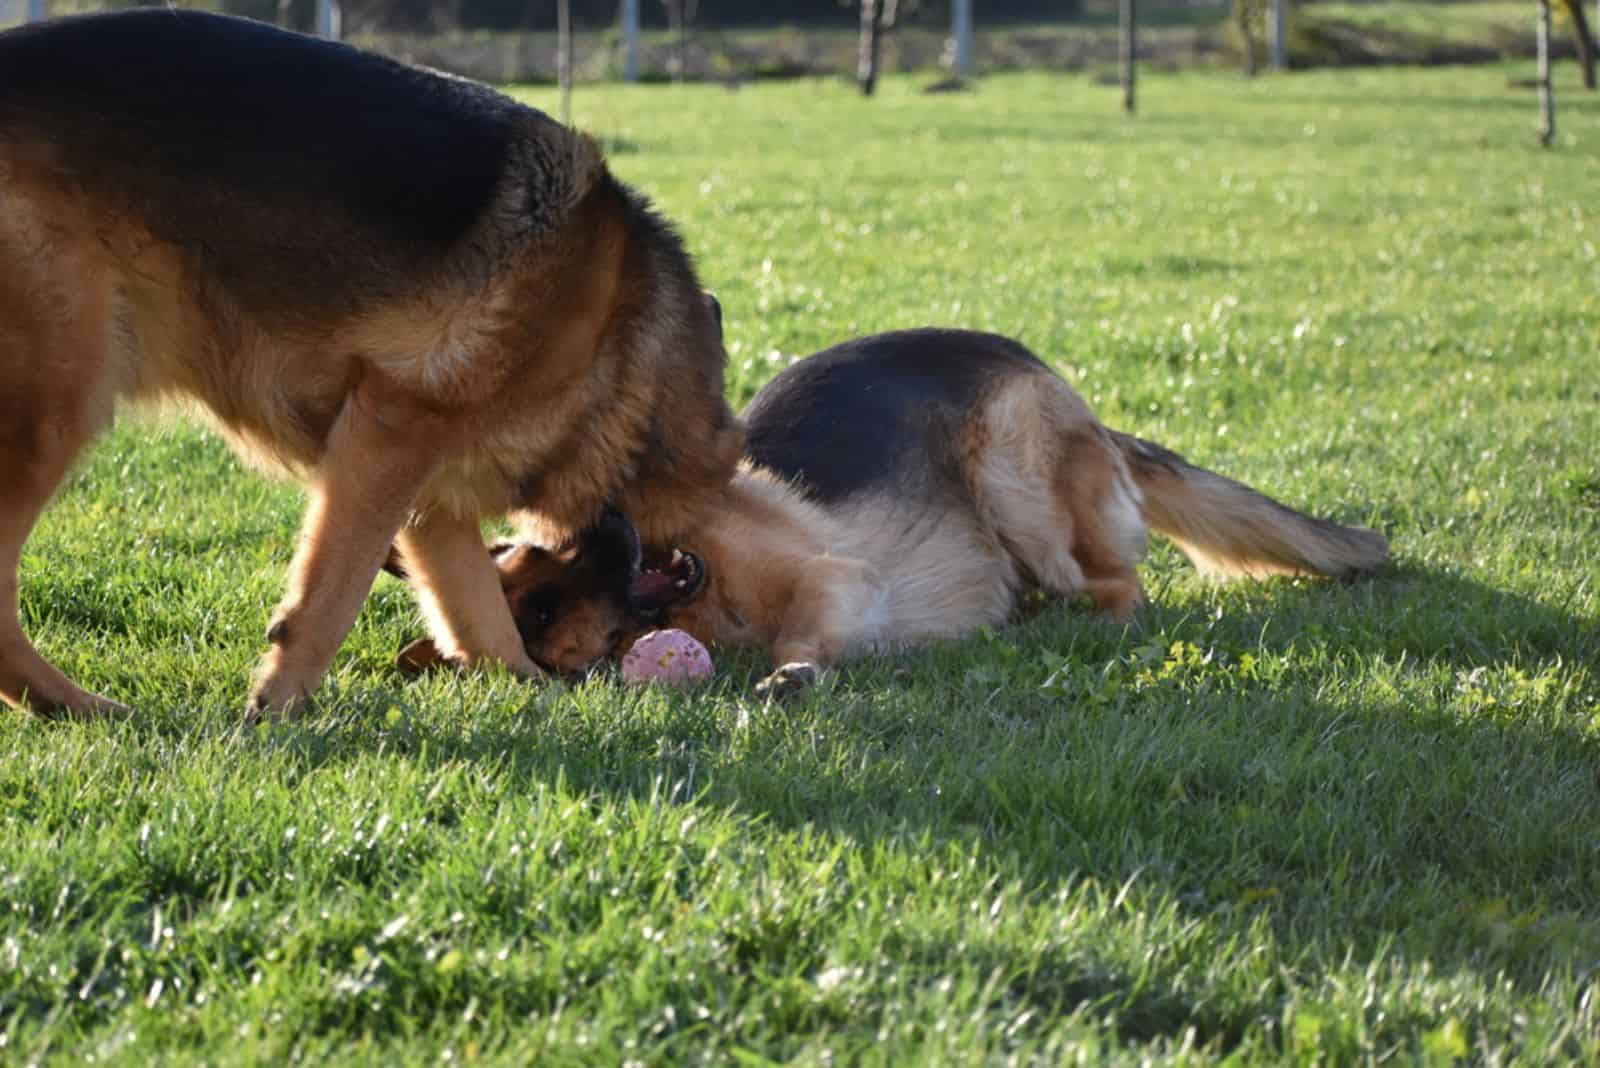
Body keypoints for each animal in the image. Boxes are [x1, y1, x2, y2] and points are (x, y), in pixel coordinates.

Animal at [0, 10, 742, 716]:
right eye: (548, 604)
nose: (625, 538)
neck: (623, 344)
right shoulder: (386, 435)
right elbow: (333, 593)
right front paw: (277, 708)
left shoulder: (430, 492)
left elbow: (475, 610)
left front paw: (531, 689)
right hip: (53, 411)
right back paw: (79, 706)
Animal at [396, 329, 1388, 697]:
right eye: (541, 607)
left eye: (558, 550)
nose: (611, 523)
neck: (706, 598)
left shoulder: (837, 579)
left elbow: (807, 629)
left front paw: (793, 670)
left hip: (1016, 475)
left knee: (1115, 586)